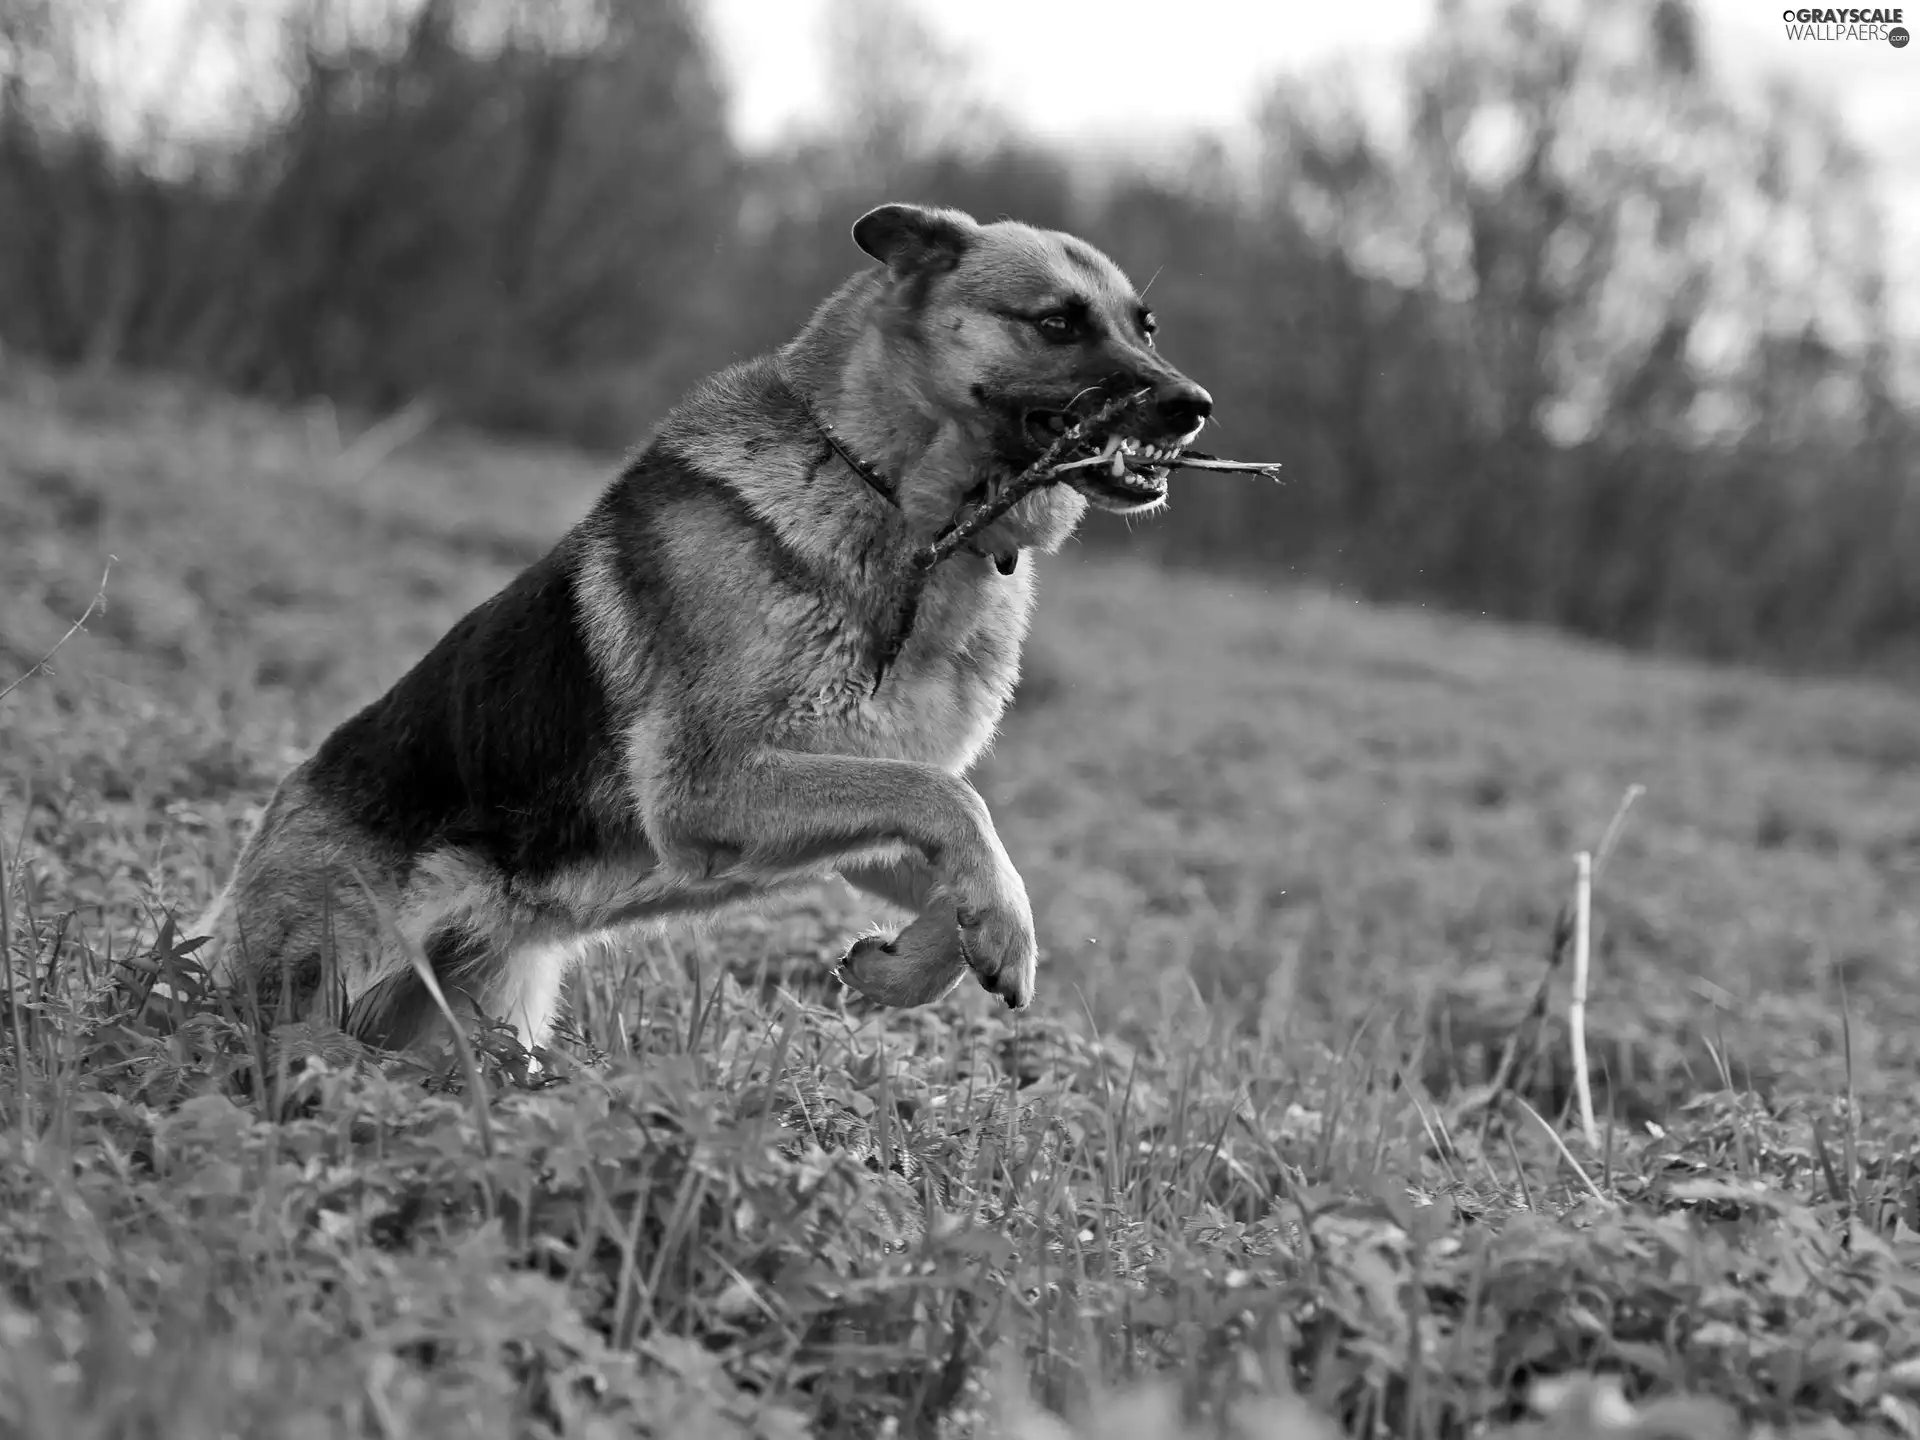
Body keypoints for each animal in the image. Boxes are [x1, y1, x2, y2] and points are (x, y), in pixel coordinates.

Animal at [194, 203, 1213, 1059]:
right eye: (1057, 323)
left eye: (1145, 326)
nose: (1194, 406)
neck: (902, 514)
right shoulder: (712, 785)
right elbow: (954, 804)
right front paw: (997, 930)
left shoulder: (846, 785)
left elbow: (952, 837)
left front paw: (926, 958)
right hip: (316, 983)